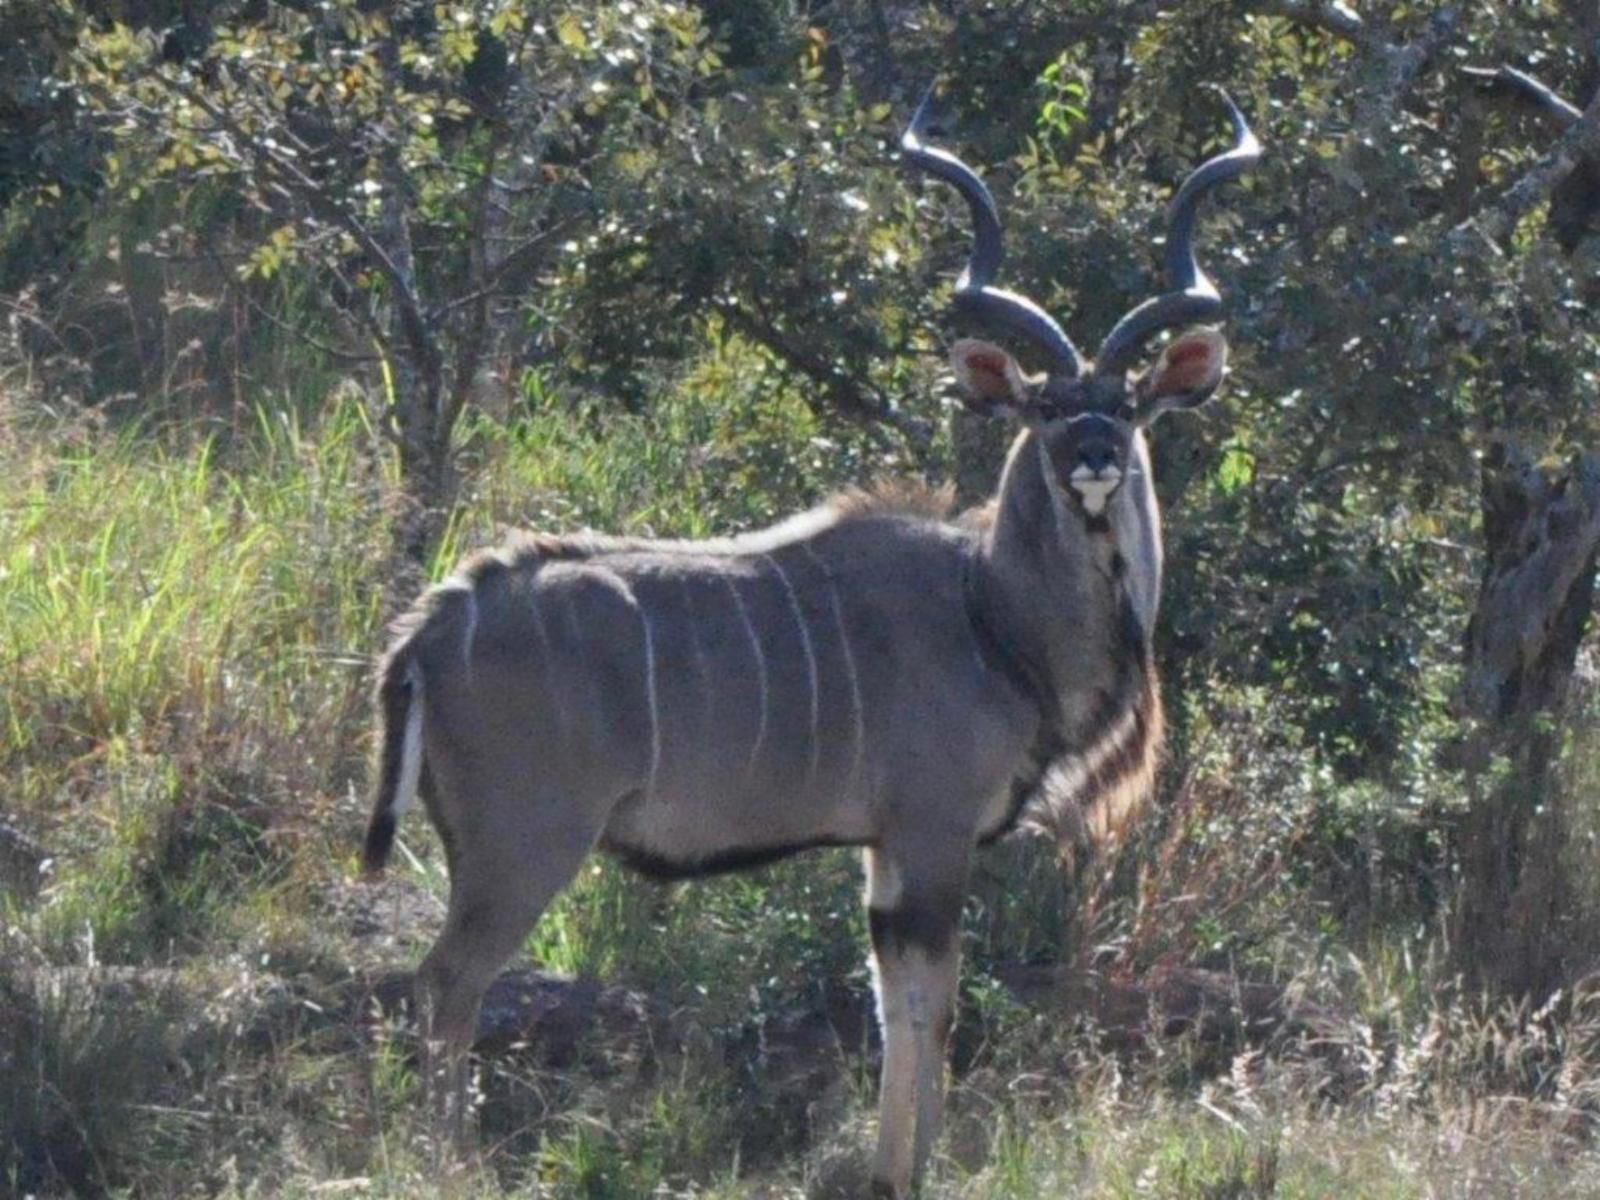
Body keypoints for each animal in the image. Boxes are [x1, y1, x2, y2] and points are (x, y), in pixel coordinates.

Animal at [366, 86, 1260, 1200]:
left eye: (1129, 406)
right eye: (1049, 406)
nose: (1095, 457)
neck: (992, 611)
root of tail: (430, 627)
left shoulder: (882, 852)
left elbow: (893, 1007)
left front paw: (890, 1168)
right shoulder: (930, 835)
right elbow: (933, 1008)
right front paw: (915, 1173)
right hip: (522, 844)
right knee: (446, 986)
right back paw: (444, 1167)